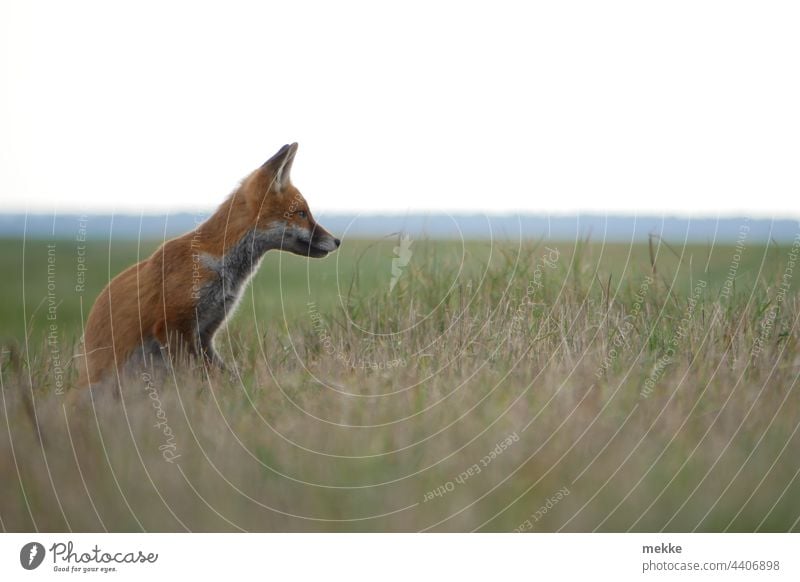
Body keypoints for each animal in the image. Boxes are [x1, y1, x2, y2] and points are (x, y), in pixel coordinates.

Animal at [74, 144, 338, 394]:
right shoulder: (173, 327)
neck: (220, 266)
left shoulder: (205, 334)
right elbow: (200, 375)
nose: (337, 241)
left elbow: (225, 375)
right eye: (301, 213)